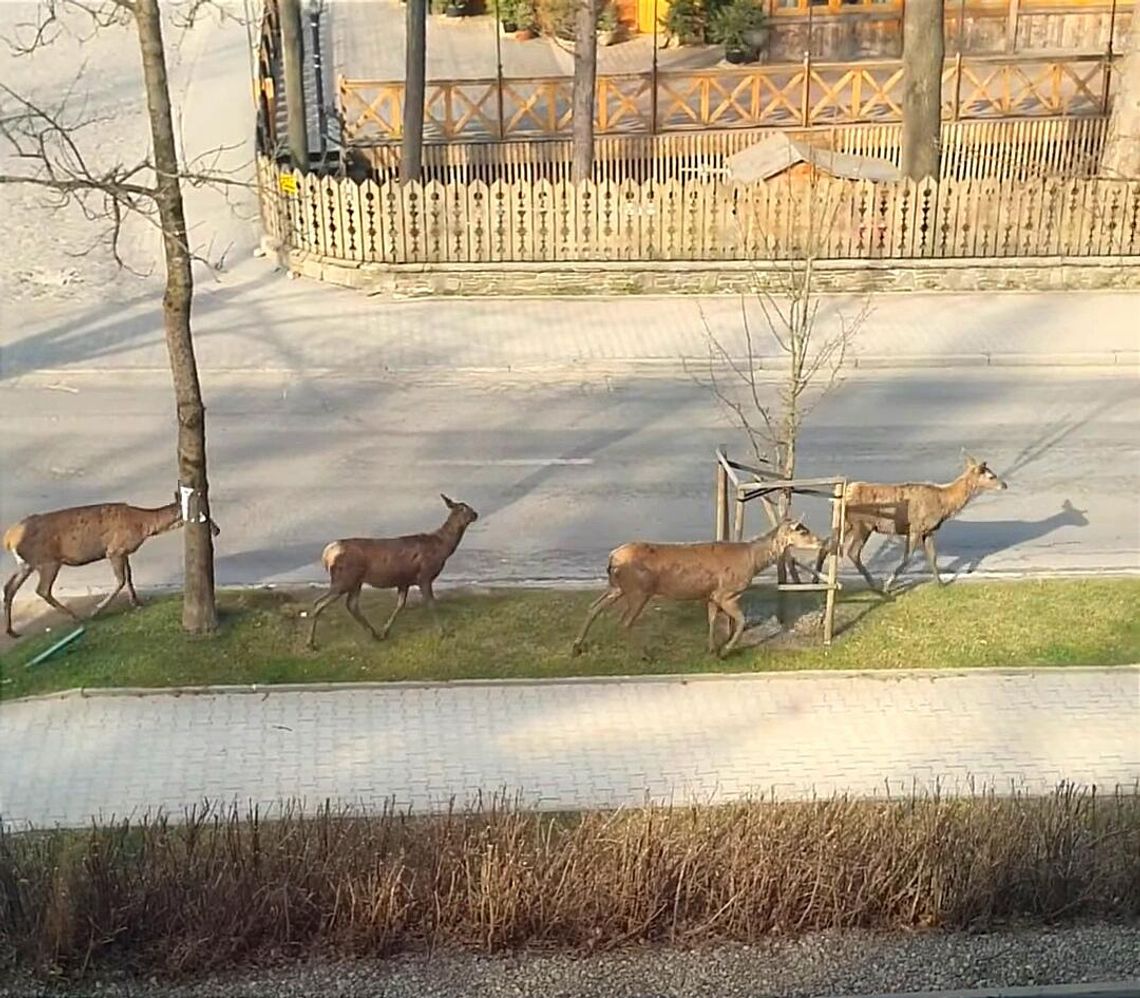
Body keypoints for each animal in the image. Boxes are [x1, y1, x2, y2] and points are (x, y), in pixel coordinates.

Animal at [3, 492, 220, 638]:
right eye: (203, 515)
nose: (217, 530)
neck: (143, 526)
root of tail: (9, 538)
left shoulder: (123, 552)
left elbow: (130, 576)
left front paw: (136, 602)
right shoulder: (114, 550)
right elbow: (121, 580)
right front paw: (97, 609)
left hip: (27, 563)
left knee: (9, 587)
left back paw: (11, 631)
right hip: (48, 561)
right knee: (42, 590)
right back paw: (75, 616)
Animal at [305, 492, 478, 652]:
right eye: (462, 508)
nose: (476, 514)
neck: (442, 549)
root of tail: (327, 554)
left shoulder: (404, 581)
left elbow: (400, 605)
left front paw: (385, 632)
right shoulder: (424, 575)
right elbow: (431, 604)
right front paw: (443, 632)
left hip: (355, 581)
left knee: (351, 605)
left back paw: (374, 634)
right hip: (344, 578)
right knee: (319, 602)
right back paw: (311, 643)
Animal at [574, 520, 825, 661]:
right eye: (802, 531)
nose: (822, 541)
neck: (752, 561)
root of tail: (612, 558)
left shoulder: (712, 595)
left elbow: (712, 619)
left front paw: (712, 649)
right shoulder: (726, 593)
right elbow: (741, 622)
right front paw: (725, 651)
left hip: (618, 587)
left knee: (594, 607)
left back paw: (577, 647)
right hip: (639, 590)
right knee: (624, 621)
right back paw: (645, 655)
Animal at [816, 451, 1012, 593]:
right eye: (991, 476)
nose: (1005, 485)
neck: (943, 502)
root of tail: (844, 494)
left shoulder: (929, 531)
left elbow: (932, 557)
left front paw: (940, 584)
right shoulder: (916, 527)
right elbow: (907, 558)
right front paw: (888, 584)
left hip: (847, 522)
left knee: (827, 544)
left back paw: (816, 578)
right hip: (863, 524)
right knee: (852, 551)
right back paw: (874, 586)